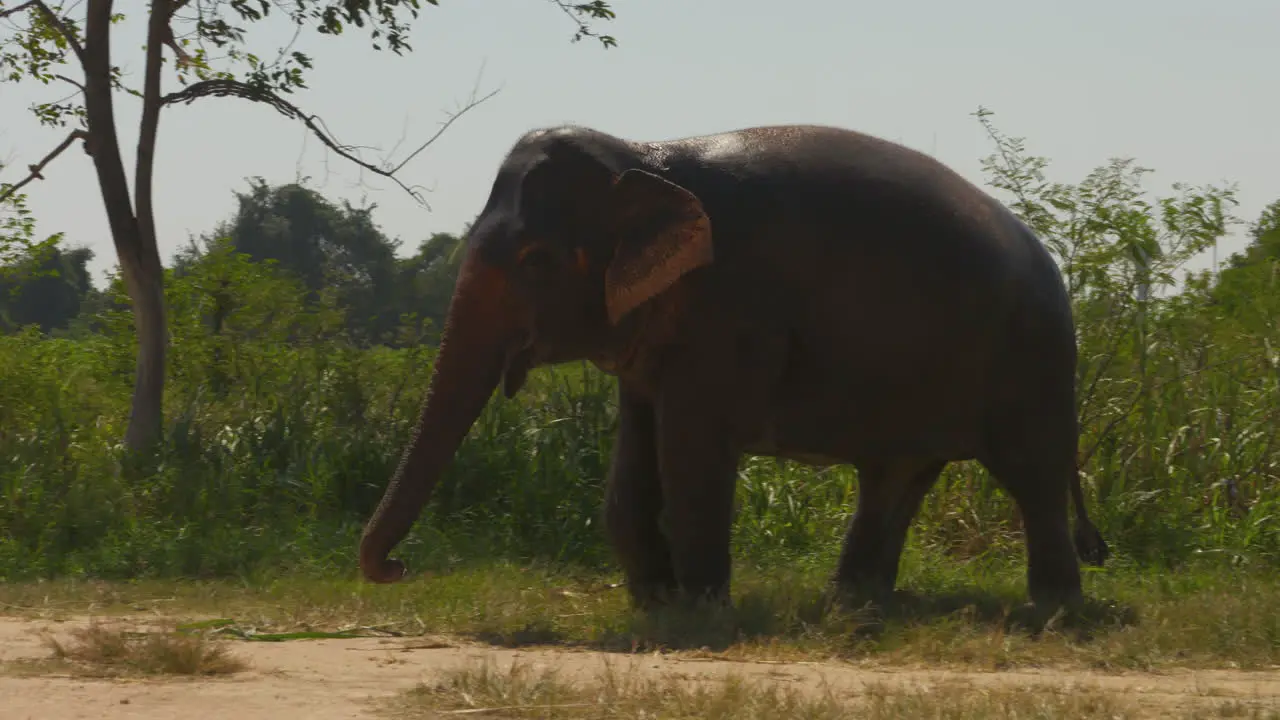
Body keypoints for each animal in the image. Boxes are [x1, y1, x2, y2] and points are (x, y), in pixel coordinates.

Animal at [360, 121, 1111, 609]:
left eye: (536, 261)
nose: (396, 567)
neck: (641, 157)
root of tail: (1051, 263)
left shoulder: (733, 313)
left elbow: (692, 451)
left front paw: (698, 608)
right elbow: (634, 457)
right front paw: (654, 600)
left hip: (1032, 358)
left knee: (1031, 474)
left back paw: (1053, 611)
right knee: (895, 475)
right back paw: (854, 603)